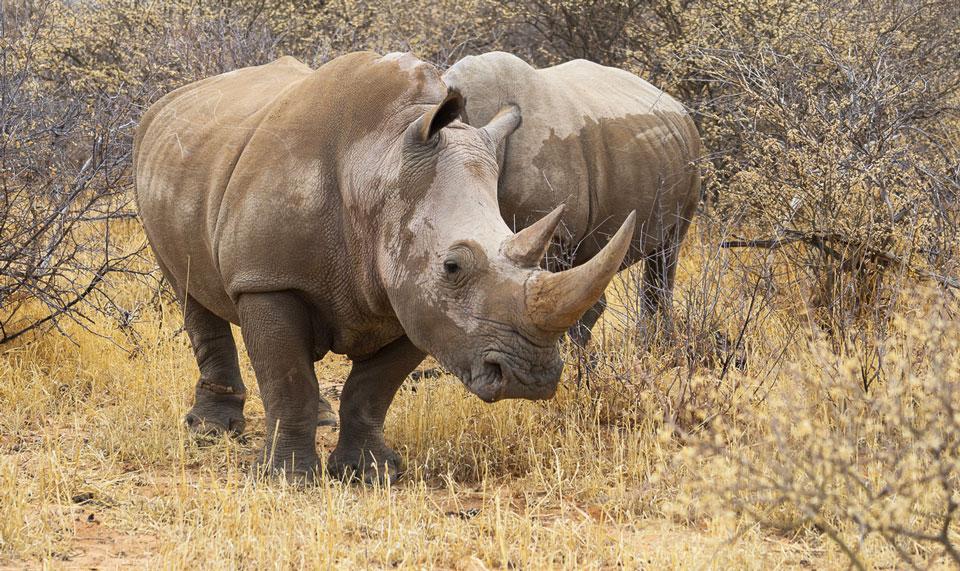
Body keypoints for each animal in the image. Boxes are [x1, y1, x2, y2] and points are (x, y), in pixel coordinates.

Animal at [134, 52, 635, 482]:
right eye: (453, 266)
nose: (528, 378)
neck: (380, 161)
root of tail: (168, 102)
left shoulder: (414, 297)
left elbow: (372, 389)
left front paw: (372, 473)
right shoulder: (267, 281)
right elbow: (287, 379)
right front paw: (287, 479)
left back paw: (319, 418)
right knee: (189, 292)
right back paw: (209, 430)